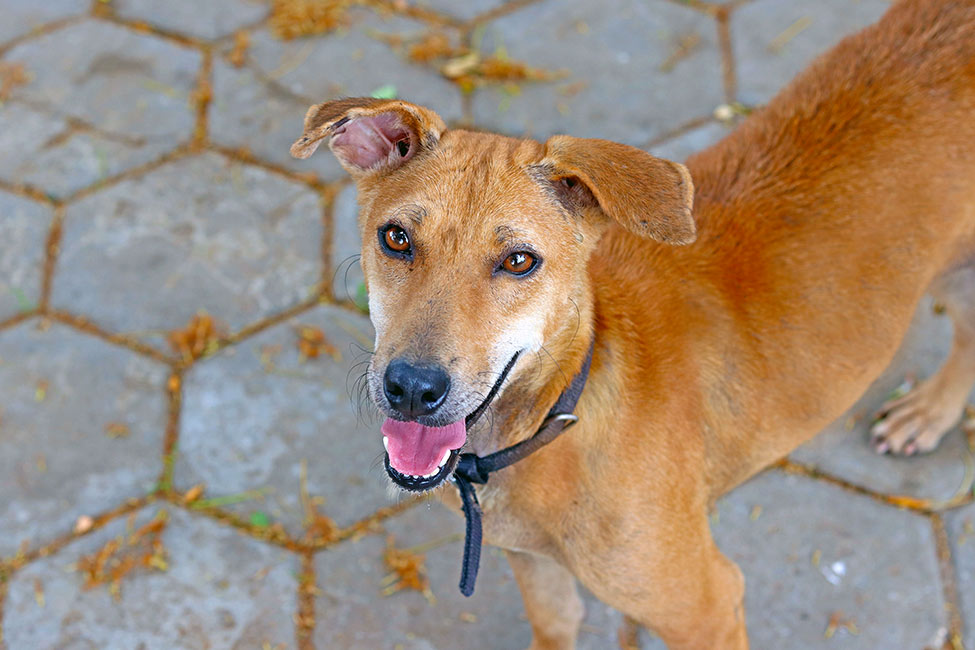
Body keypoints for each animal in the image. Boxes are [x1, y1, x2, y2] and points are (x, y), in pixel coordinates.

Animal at [290, 1, 975, 647]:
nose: (411, 388)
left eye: (520, 261)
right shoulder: (538, 570)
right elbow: (554, 624)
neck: (563, 412)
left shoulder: (706, 606)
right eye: (396, 238)